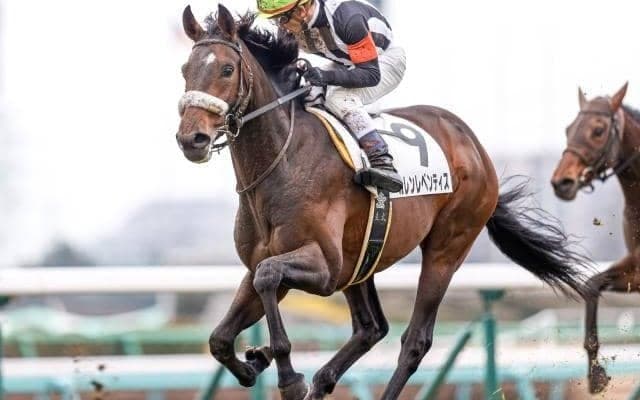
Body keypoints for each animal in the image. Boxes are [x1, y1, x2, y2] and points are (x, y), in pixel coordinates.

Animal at [176, 5, 592, 399]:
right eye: (185, 70)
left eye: (227, 69)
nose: (191, 139)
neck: (283, 161)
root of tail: (473, 145)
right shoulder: (270, 264)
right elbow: (220, 337)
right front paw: (254, 363)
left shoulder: (324, 267)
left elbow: (268, 277)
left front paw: (287, 377)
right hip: (361, 258)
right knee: (371, 328)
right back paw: (321, 382)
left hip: (446, 248)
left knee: (414, 341)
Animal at [551, 82, 640, 394]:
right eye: (568, 129)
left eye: (598, 130)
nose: (561, 182)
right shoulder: (635, 269)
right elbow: (591, 286)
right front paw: (596, 376)